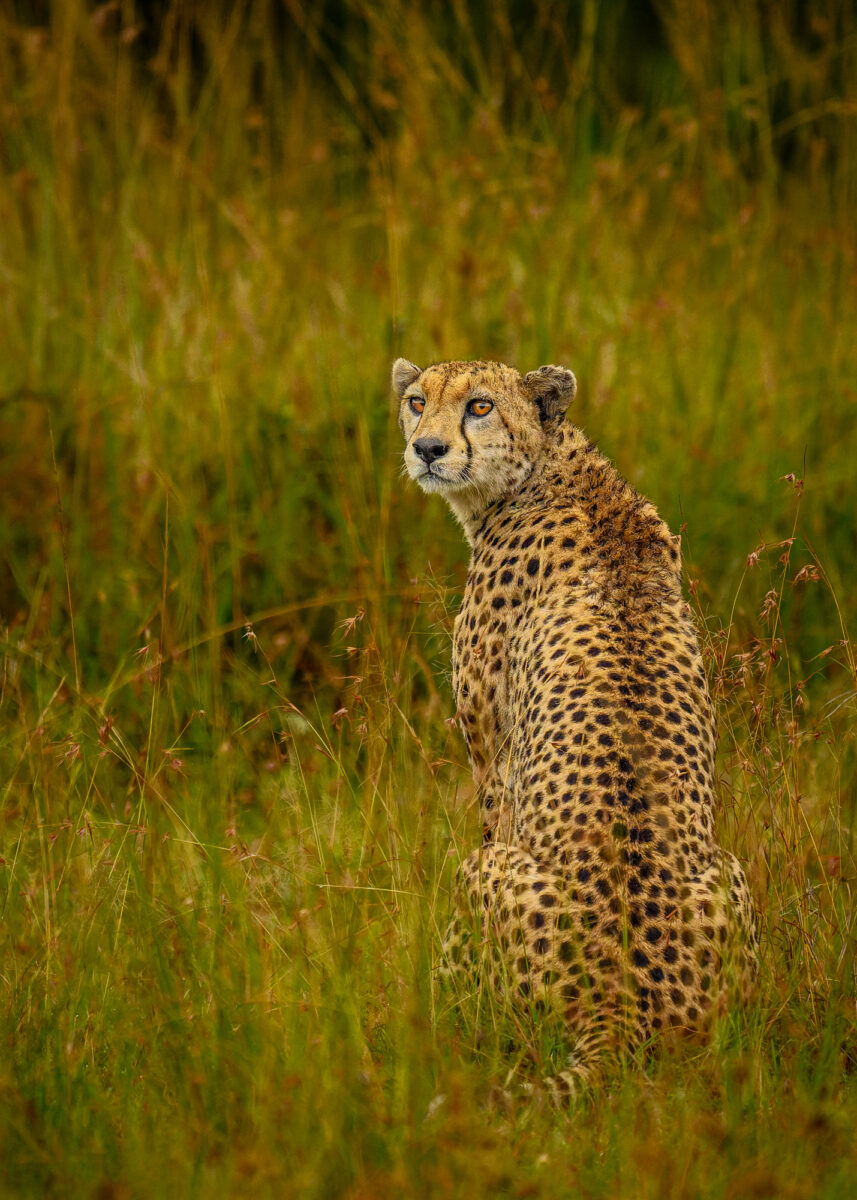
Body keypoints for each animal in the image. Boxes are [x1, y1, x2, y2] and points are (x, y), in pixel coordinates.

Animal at [392, 356, 758, 1098]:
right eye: (417, 401)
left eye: (478, 406)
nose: (428, 449)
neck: (550, 467)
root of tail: (621, 1009)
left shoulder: (490, 751)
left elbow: (492, 806)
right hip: (729, 877)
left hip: (481, 876)